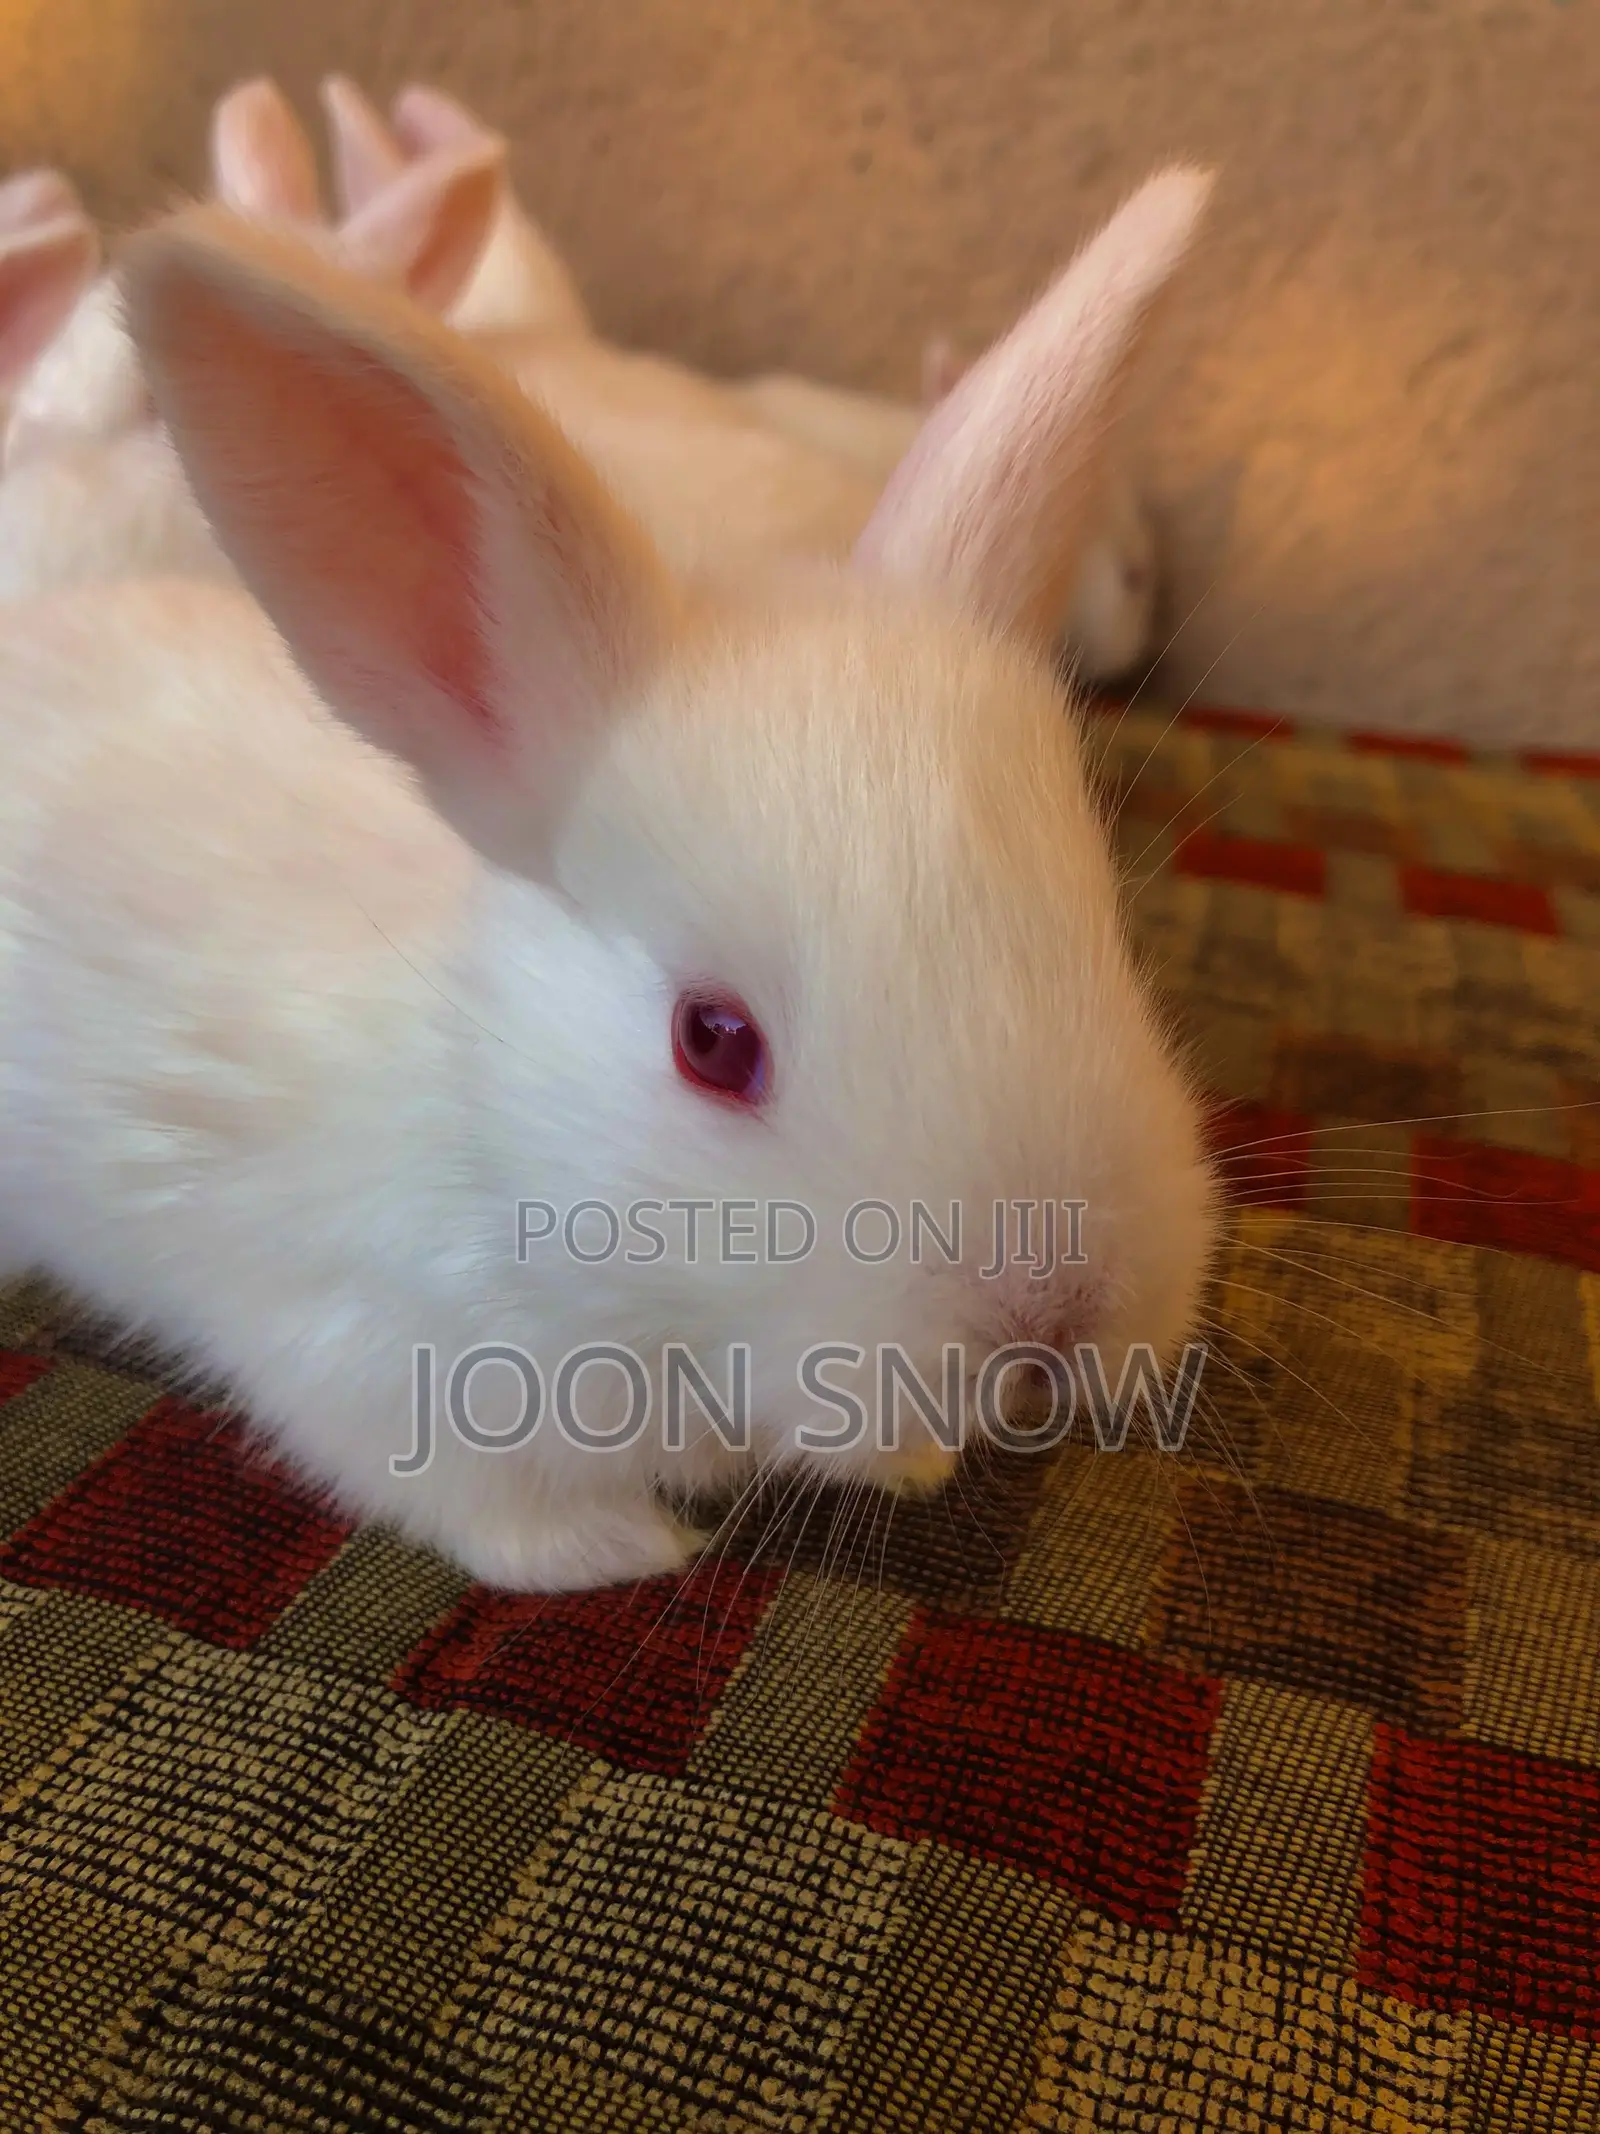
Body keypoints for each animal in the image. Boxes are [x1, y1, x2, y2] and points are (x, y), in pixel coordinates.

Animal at [0, 169, 1219, 1594]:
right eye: (713, 1041)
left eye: (1105, 931)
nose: (1052, 1322)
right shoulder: (352, 1337)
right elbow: (472, 1499)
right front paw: (620, 1547)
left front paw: (907, 1464)